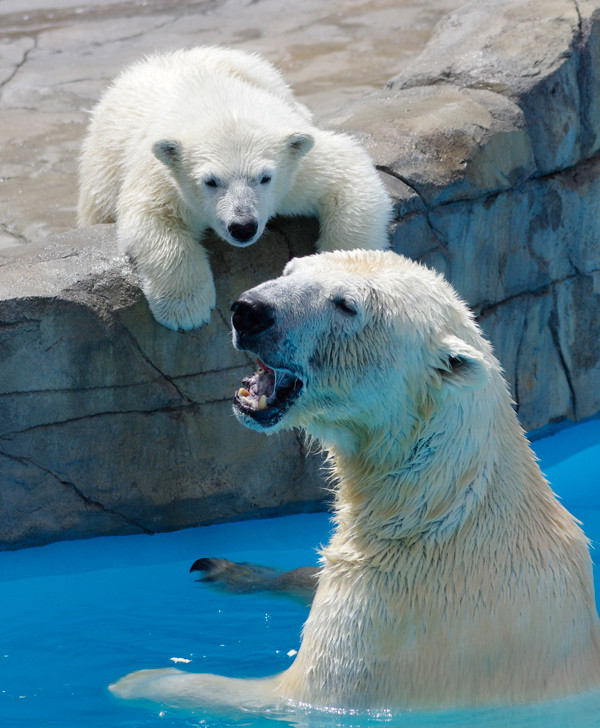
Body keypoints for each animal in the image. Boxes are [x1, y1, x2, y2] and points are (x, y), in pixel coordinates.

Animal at [77, 50, 392, 332]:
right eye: (211, 181)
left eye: (264, 177)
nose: (243, 227)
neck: (219, 100)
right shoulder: (165, 173)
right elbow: (153, 217)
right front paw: (186, 309)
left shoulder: (296, 167)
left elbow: (346, 171)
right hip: (102, 168)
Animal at [110, 252, 600, 712]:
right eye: (290, 270)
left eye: (346, 304)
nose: (250, 310)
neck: (436, 506)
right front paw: (231, 569)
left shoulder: (394, 615)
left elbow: (287, 692)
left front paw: (141, 679)